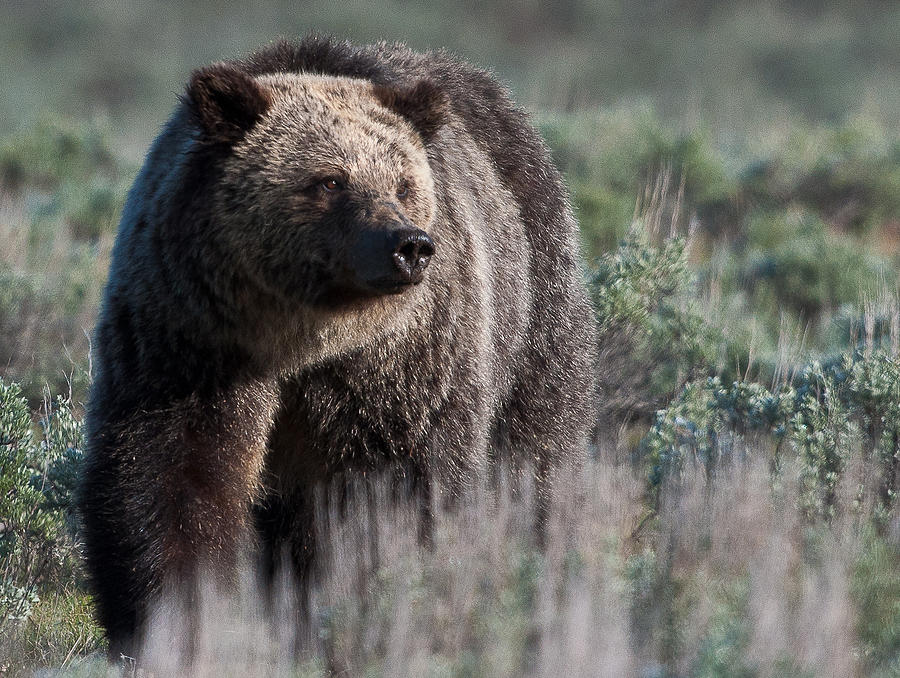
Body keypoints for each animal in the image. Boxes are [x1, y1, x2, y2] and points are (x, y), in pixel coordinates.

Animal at [79, 35, 596, 660]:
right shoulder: (188, 342)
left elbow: (394, 495)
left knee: (534, 456)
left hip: (532, 308)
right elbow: (168, 479)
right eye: (330, 180)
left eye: (403, 183)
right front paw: (176, 620)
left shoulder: (398, 370)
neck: (299, 339)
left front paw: (373, 604)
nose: (408, 245)